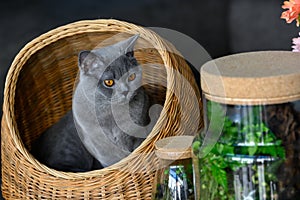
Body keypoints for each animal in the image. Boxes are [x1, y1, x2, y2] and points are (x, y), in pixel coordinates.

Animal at [30, 34, 158, 172]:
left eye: (132, 77)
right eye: (109, 82)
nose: (125, 91)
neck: (112, 115)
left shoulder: (140, 132)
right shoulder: (101, 149)